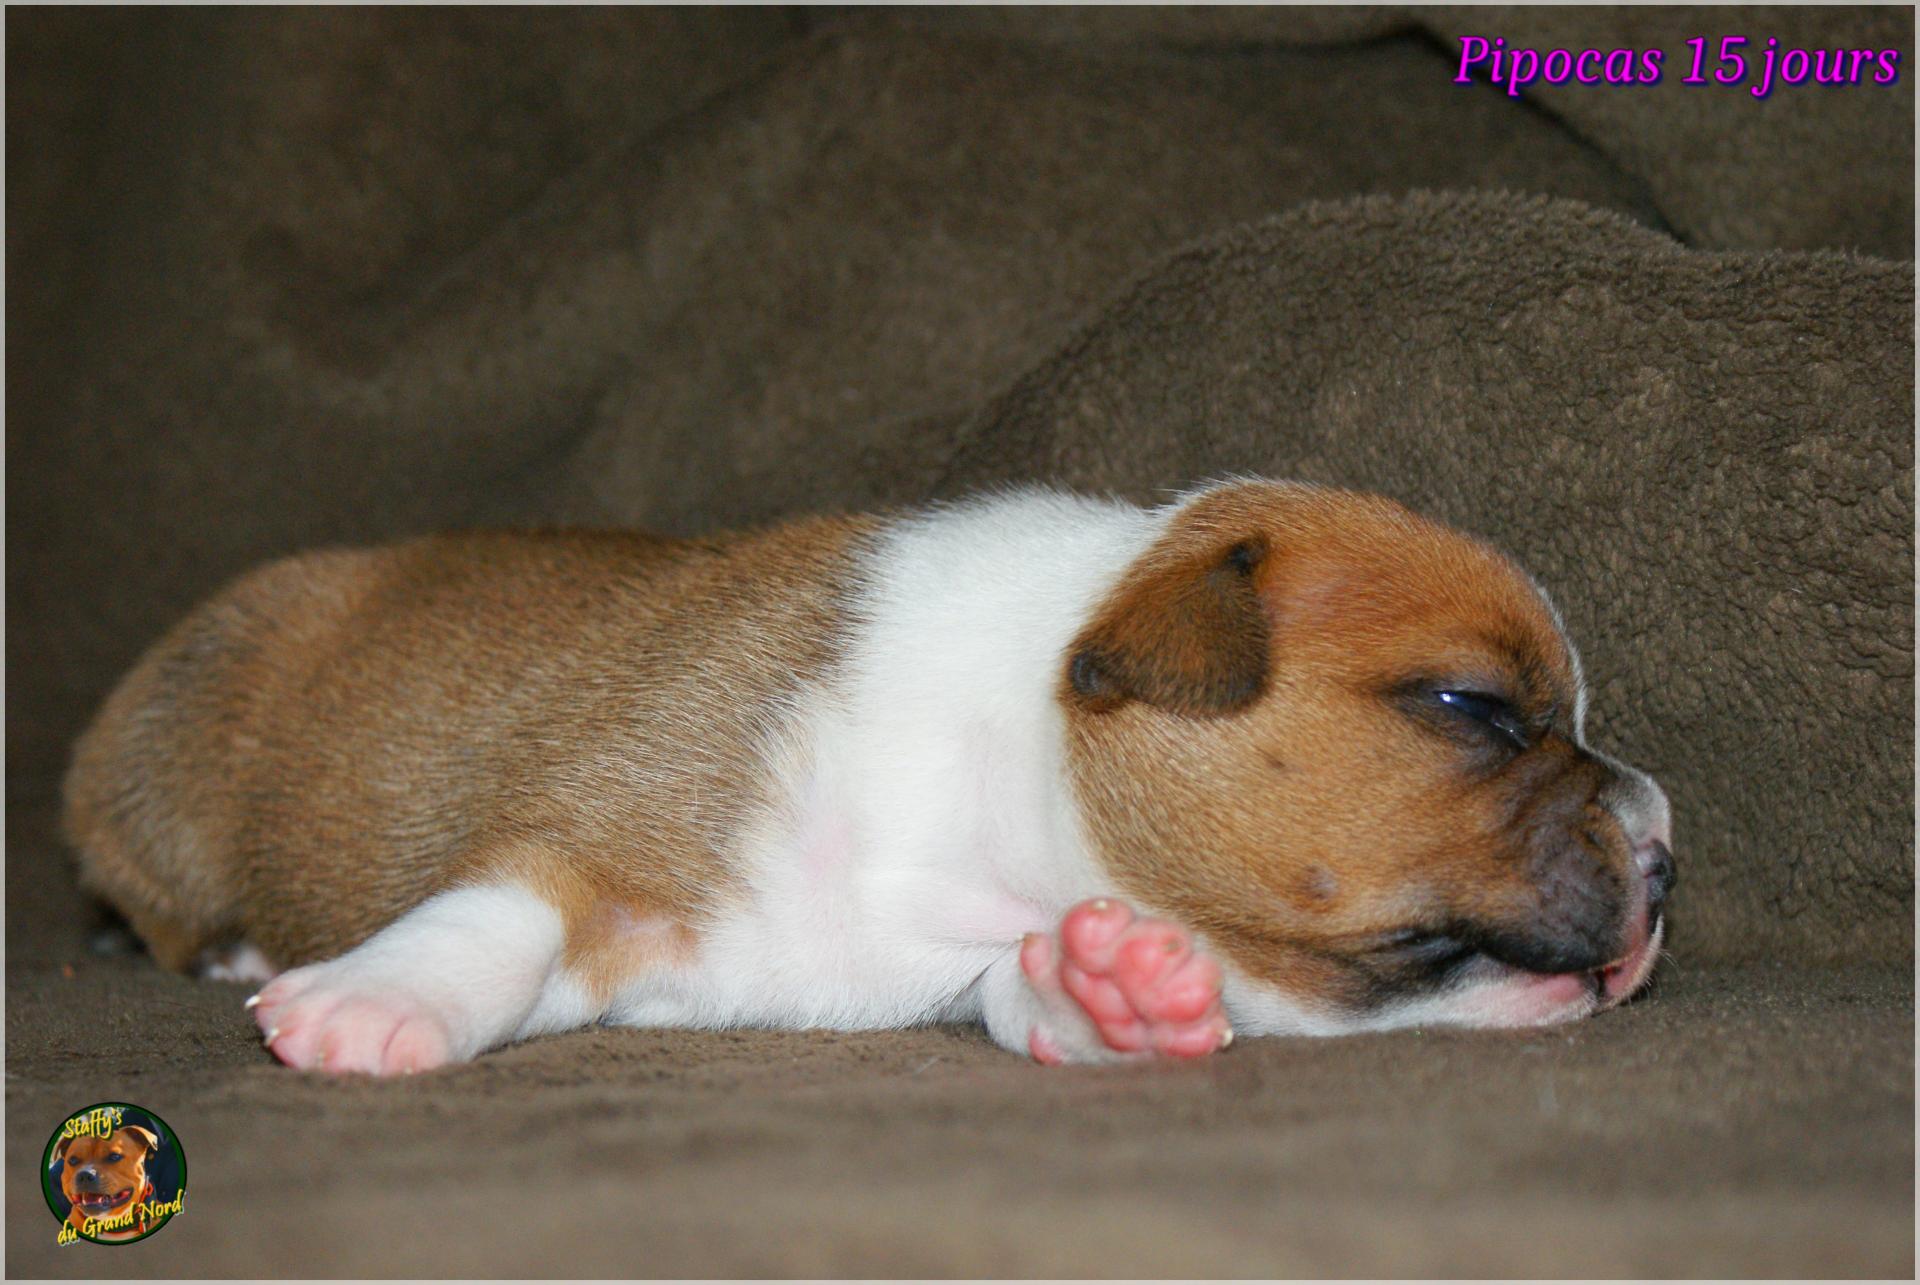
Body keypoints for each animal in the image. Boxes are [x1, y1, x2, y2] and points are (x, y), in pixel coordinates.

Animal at [67, 476, 1674, 1067]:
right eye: (1472, 707)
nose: (1667, 847)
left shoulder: (975, 951)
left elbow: (1029, 993)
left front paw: (1116, 993)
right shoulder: (608, 826)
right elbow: (497, 910)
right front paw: (373, 1001)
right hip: (161, 764)